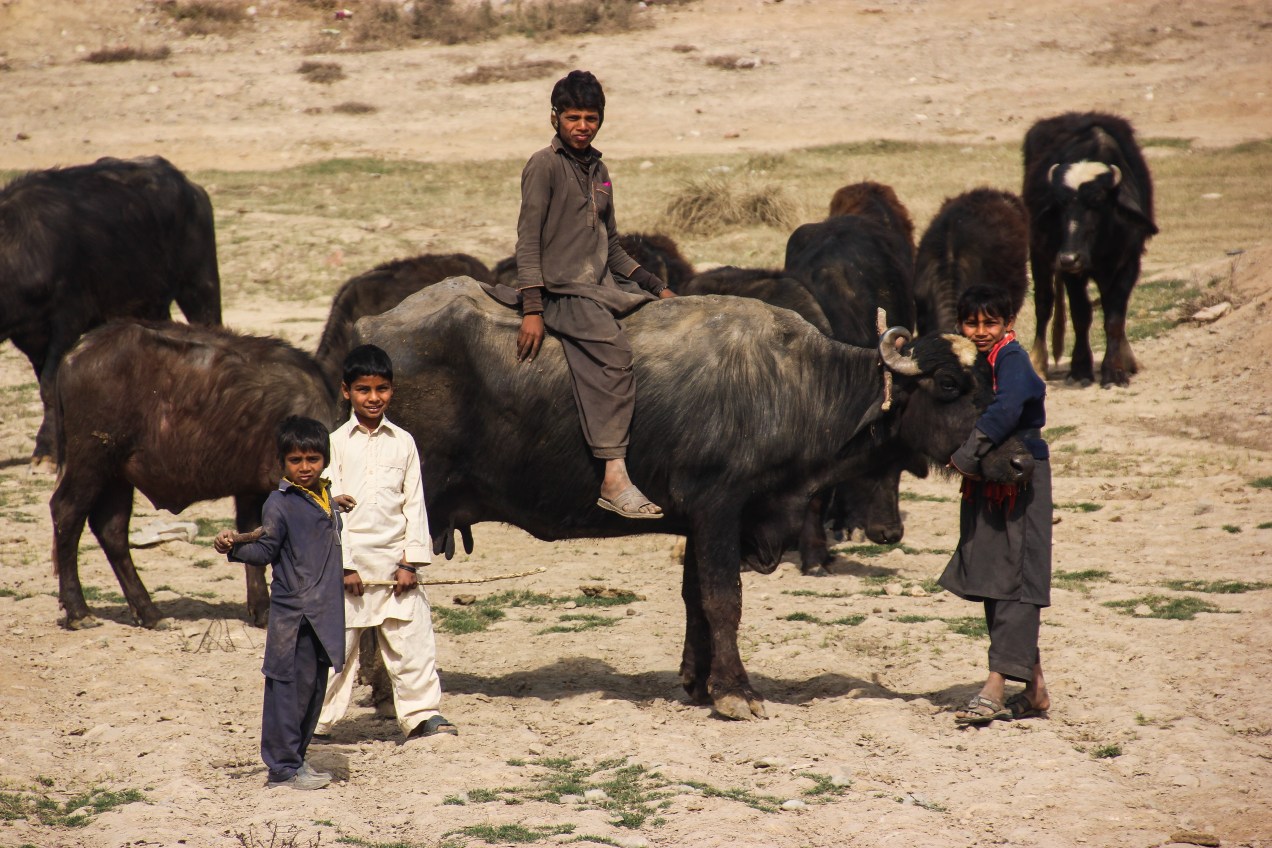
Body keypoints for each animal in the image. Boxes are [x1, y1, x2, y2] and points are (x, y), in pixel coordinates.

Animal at [0, 156, 221, 469]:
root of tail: (191, 188)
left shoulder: (68, 320)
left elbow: (49, 384)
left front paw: (46, 452)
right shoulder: (30, 338)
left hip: (200, 284)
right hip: (149, 304)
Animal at [50, 321, 337, 629]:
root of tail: (76, 353)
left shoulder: (251, 489)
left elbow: (252, 535)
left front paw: (263, 609)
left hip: (117, 475)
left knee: (111, 530)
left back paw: (149, 612)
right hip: (91, 459)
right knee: (67, 514)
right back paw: (79, 611)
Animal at [352, 277, 1029, 720]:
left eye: (994, 377)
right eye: (951, 385)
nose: (1020, 459)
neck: (792, 388)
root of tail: (376, 330)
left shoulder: (699, 522)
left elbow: (695, 600)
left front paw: (699, 681)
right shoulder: (719, 506)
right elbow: (723, 598)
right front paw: (736, 693)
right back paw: (387, 698)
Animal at [1022, 111, 1158, 386]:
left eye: (1097, 201)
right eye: (1060, 203)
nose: (1069, 258)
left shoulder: (1129, 263)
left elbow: (1114, 317)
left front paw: (1114, 370)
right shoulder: (1072, 272)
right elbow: (1081, 314)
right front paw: (1081, 368)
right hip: (1039, 255)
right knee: (1043, 303)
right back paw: (1038, 362)